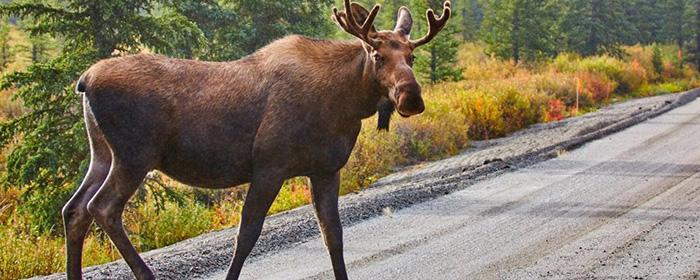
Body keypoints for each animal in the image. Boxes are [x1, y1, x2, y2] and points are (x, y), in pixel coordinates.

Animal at [63, 1, 452, 278]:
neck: (345, 102)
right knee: (102, 208)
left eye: (412, 56)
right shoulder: (269, 165)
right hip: (135, 156)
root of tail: (84, 80)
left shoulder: (326, 170)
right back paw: (147, 275)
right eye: (377, 55)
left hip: (102, 154)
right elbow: (246, 235)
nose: (411, 98)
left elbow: (334, 235)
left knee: (75, 209)